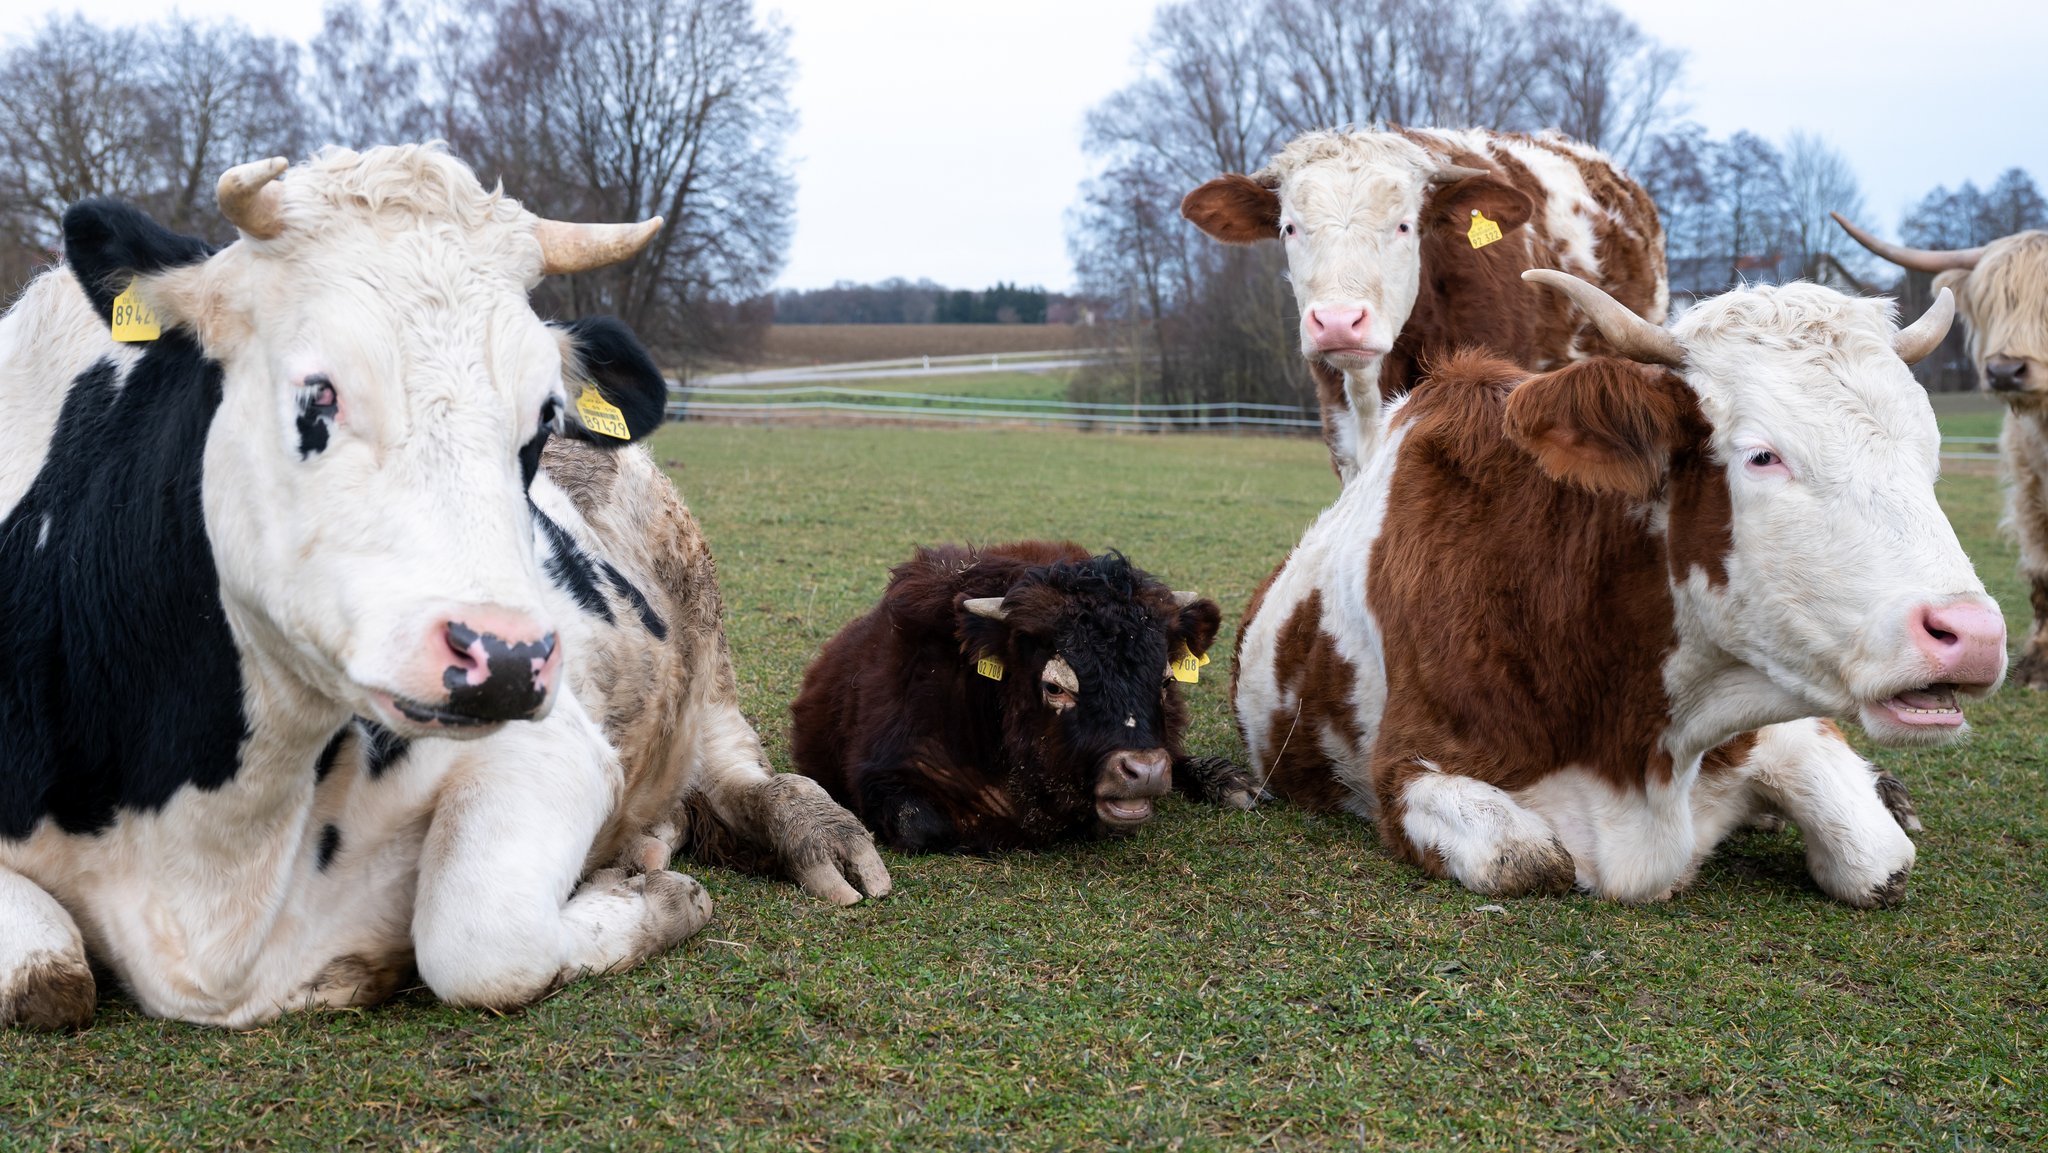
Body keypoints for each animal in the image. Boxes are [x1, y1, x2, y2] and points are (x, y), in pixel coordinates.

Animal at [1228, 272, 1998, 913]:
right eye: (1763, 455)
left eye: (1929, 456)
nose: (1974, 634)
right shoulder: (1405, 770)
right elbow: (1528, 859)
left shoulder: (1772, 729)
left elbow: (1876, 860)